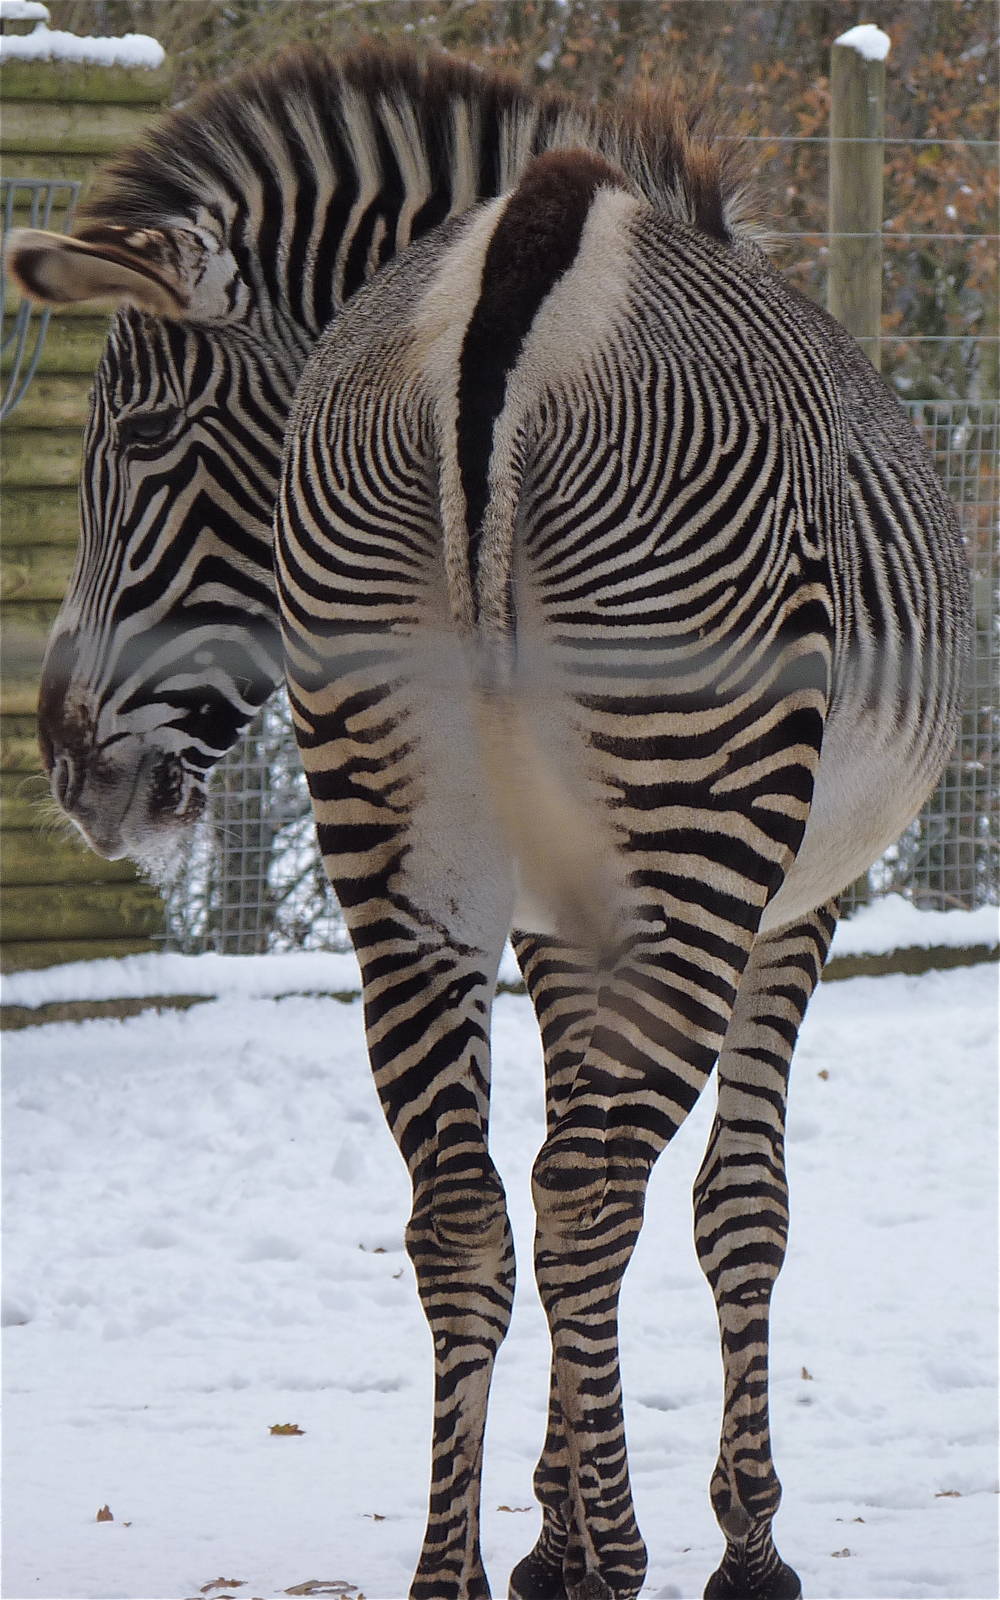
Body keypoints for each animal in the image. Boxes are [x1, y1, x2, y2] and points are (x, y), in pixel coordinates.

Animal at [8, 44, 968, 1600]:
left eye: (145, 437)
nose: (70, 768)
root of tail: (523, 255)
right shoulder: (792, 903)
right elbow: (739, 1205)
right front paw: (736, 1540)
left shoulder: (567, 917)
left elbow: (587, 1165)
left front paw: (548, 1530)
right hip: (699, 834)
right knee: (587, 1193)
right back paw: (625, 1555)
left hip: (400, 847)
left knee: (467, 1209)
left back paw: (458, 1566)